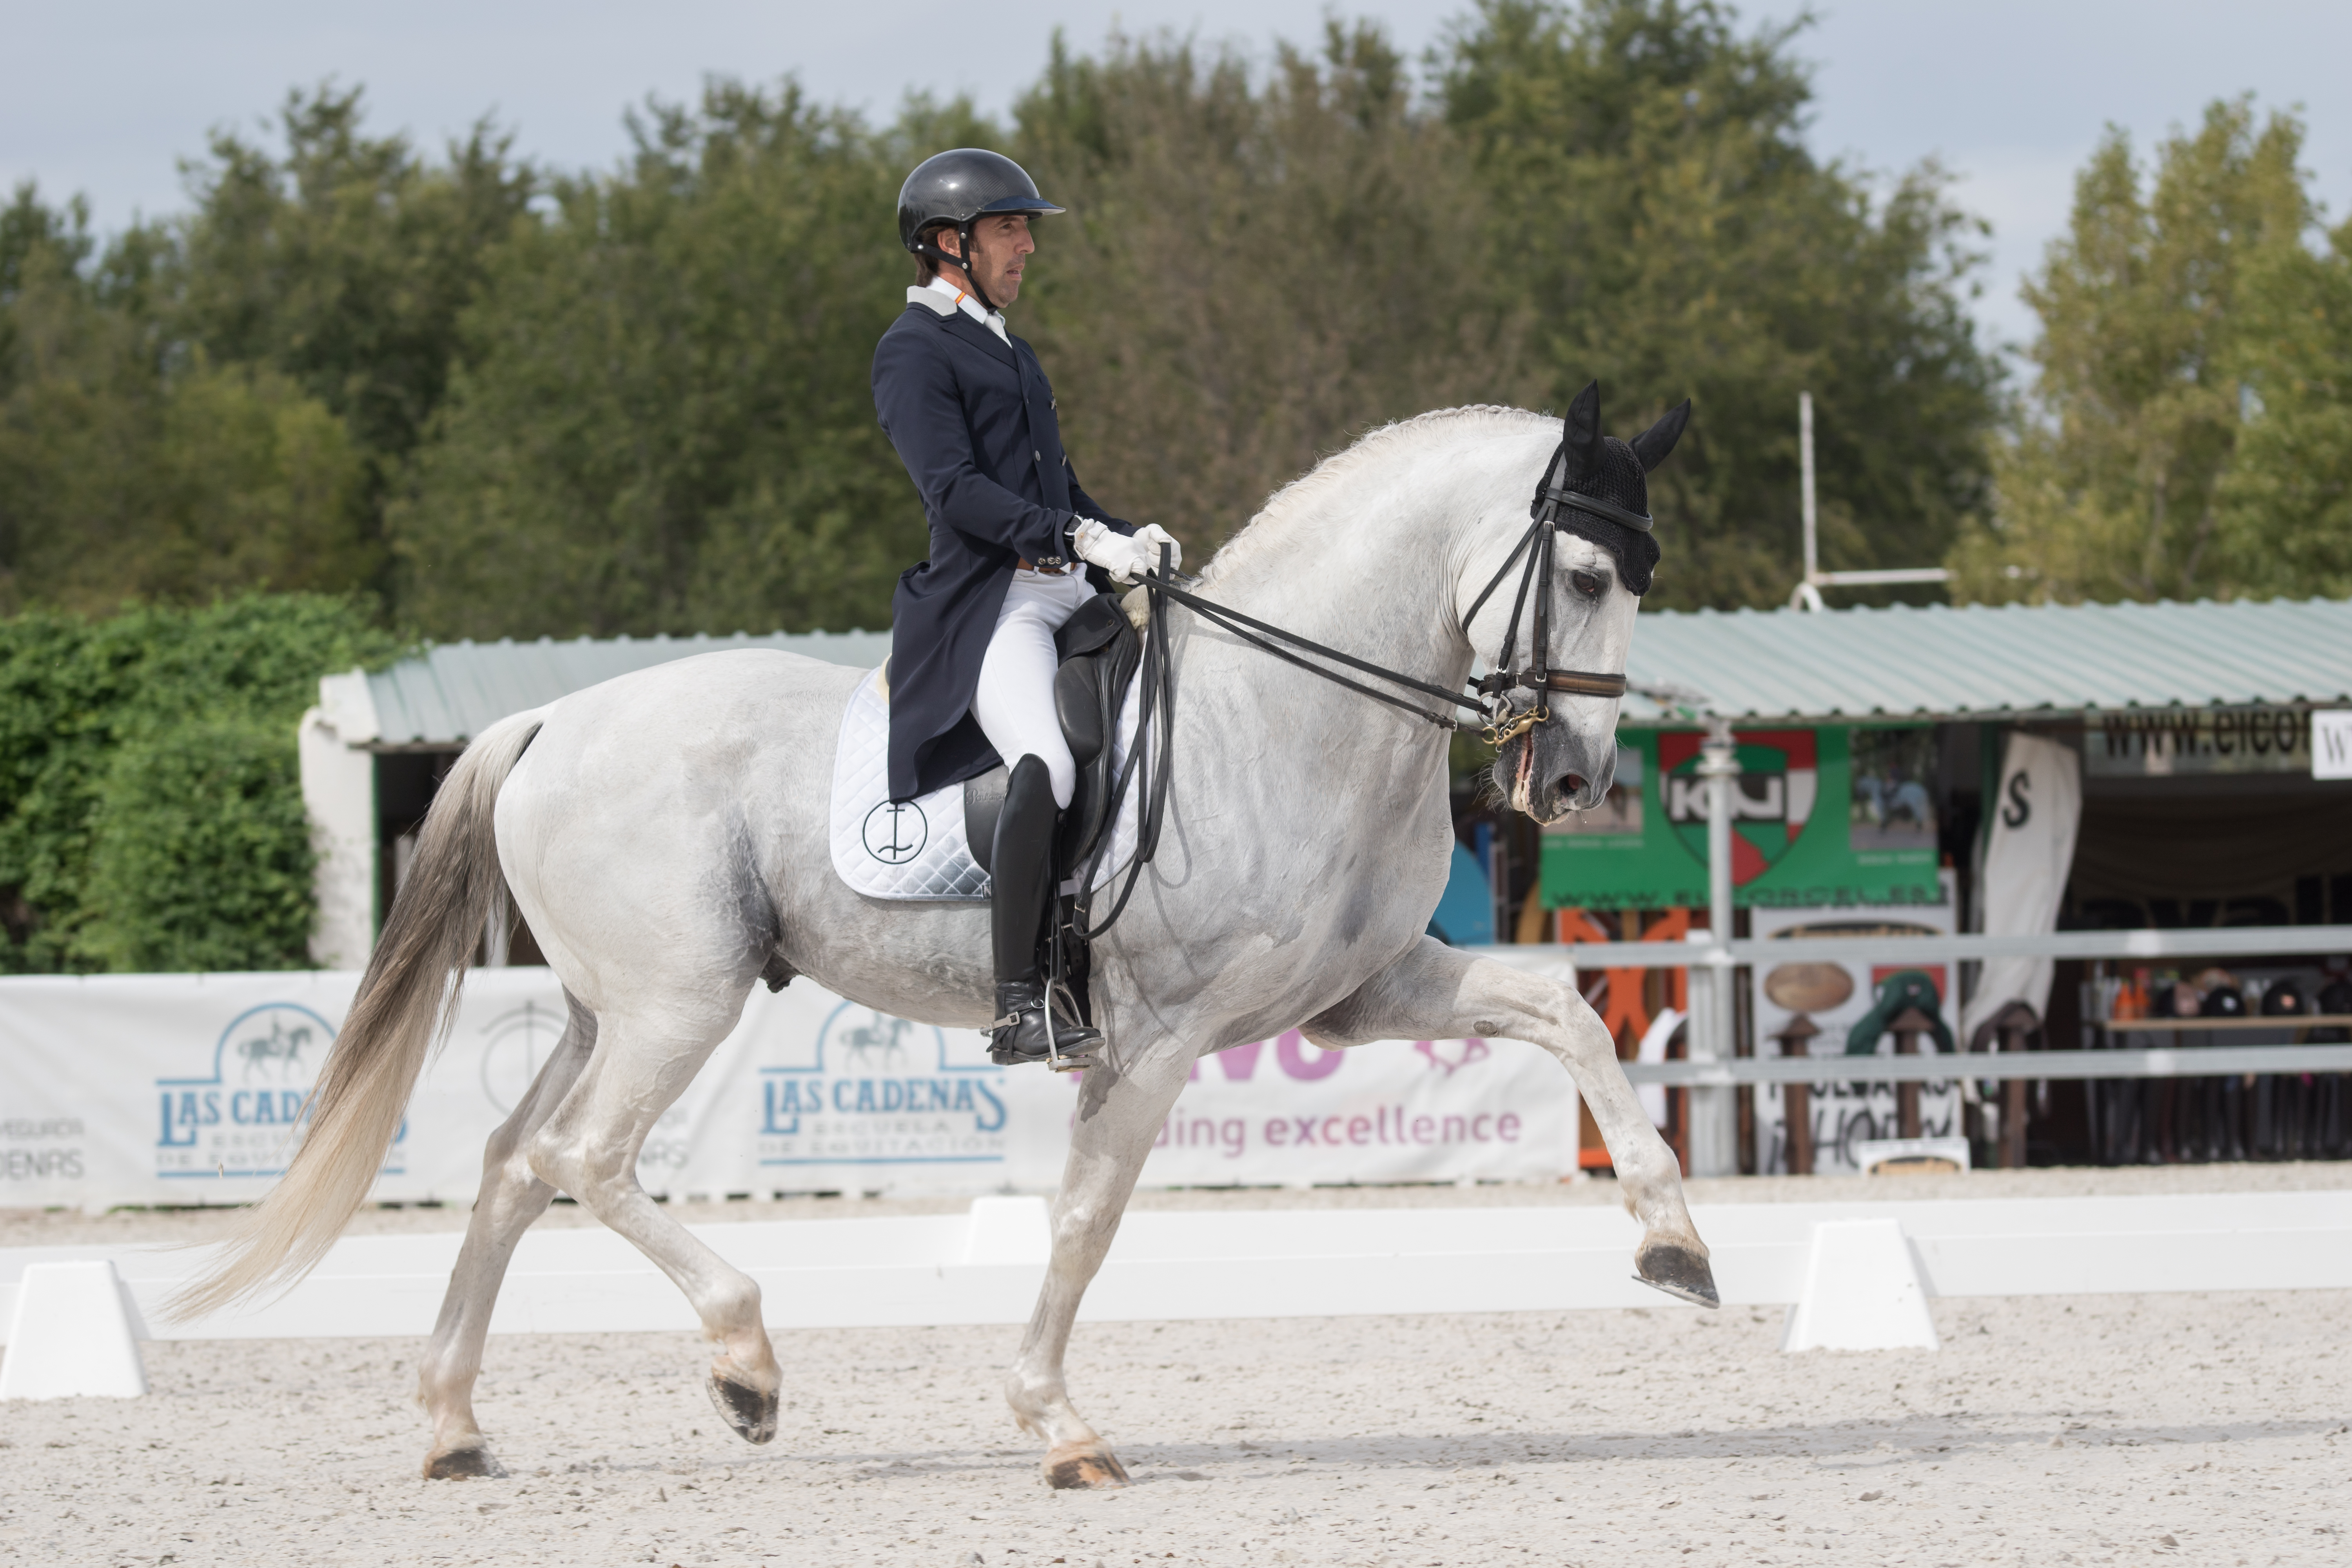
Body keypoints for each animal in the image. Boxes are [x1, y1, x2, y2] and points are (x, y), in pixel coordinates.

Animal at [179, 395, 1712, 1486]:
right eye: (1586, 572)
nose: (1571, 779)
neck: (1290, 713)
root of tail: (550, 718)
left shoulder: (1367, 989)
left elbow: (1568, 1009)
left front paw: (1675, 1246)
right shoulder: (1157, 1039)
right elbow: (1087, 1219)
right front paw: (1059, 1426)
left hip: (600, 1007)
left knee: (511, 1167)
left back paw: (453, 1426)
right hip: (680, 1002)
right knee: (583, 1159)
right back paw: (744, 1365)